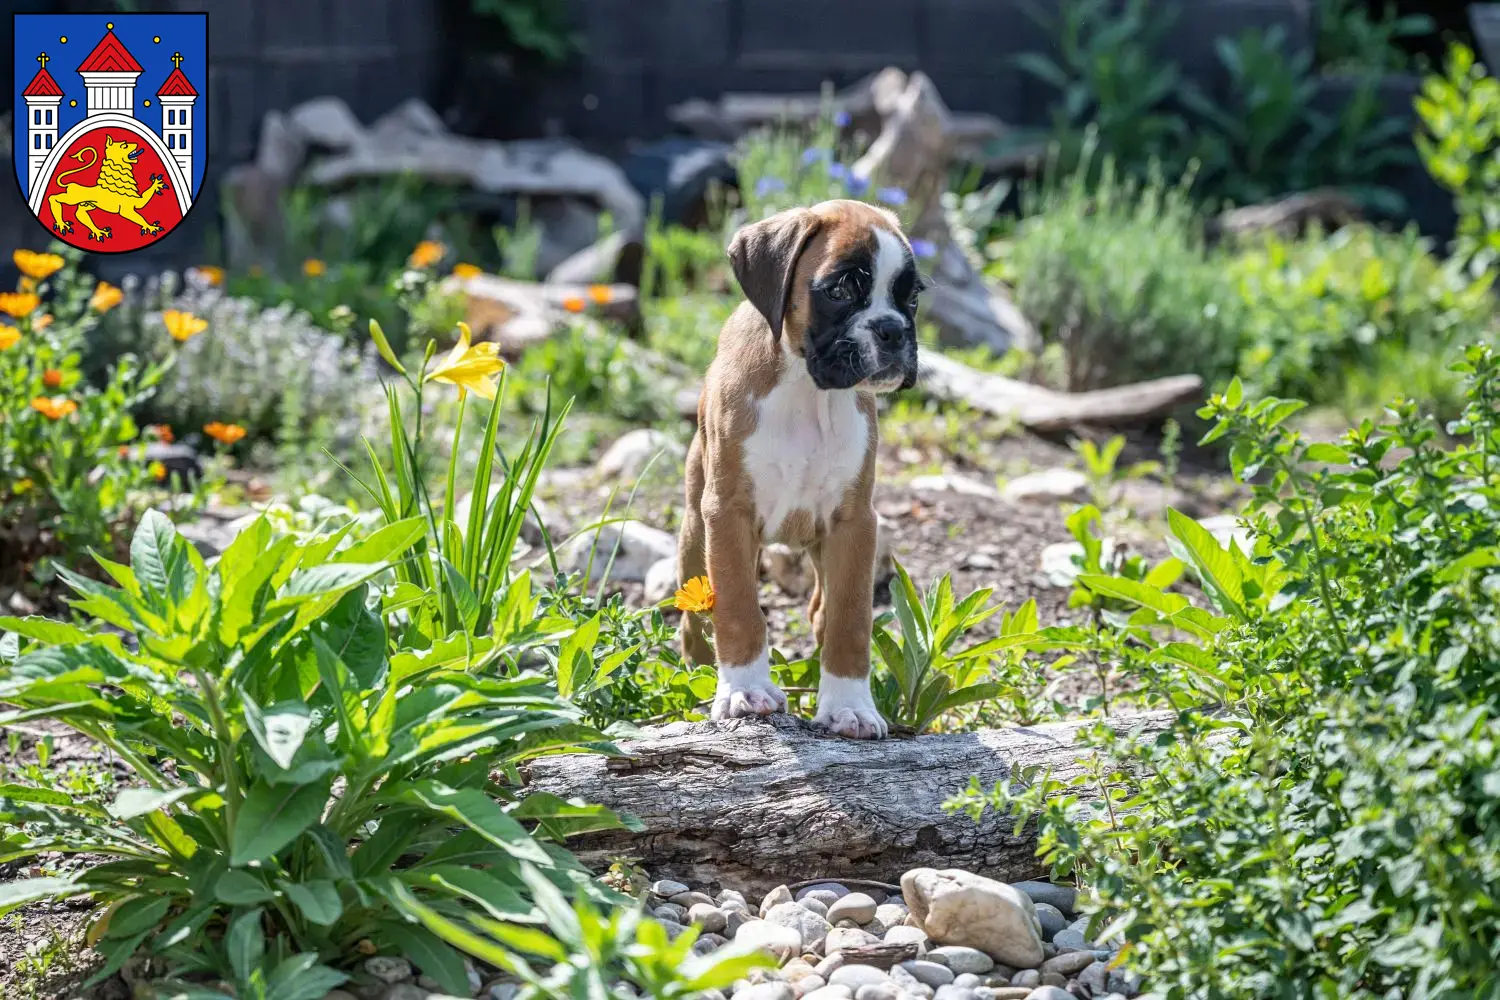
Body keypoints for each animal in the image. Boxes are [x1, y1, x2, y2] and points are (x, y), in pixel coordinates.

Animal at [684, 199, 918, 740]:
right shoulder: (727, 515)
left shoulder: (855, 524)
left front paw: (850, 705)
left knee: (821, 610)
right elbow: (738, 608)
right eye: (840, 290)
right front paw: (745, 690)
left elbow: (851, 618)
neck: (808, 390)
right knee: (694, 617)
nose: (893, 329)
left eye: (912, 297)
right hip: (693, 530)